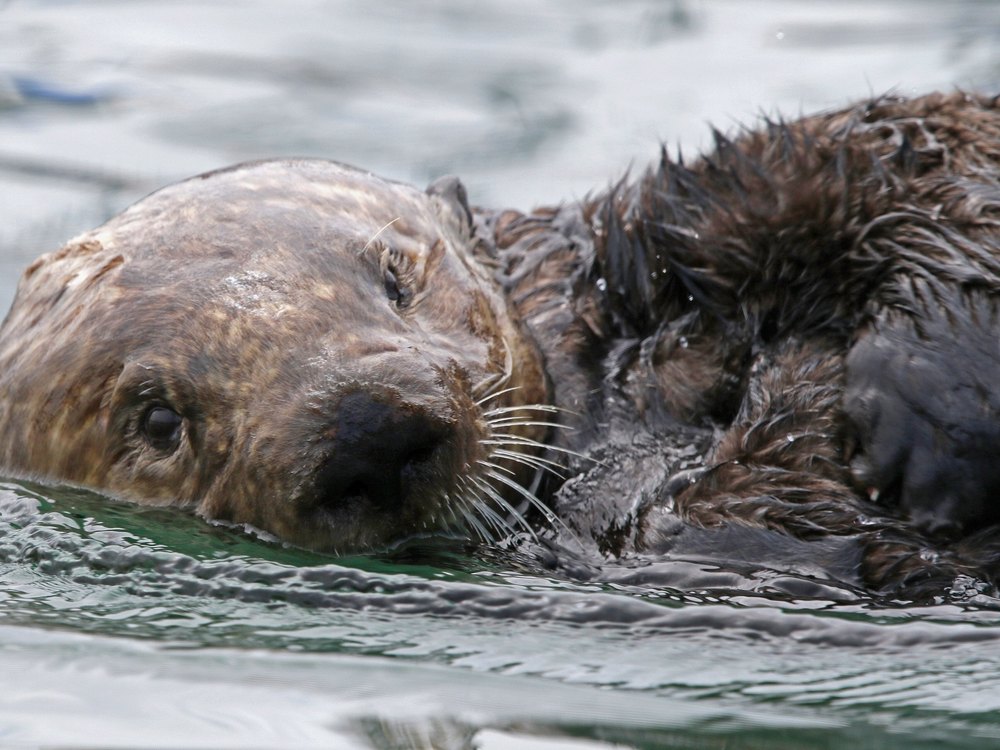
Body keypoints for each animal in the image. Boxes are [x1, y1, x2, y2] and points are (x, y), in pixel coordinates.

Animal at [0, 91, 998, 599]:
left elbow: (903, 148)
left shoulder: (672, 226)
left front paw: (930, 408)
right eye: (158, 421)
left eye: (397, 277)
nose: (369, 432)